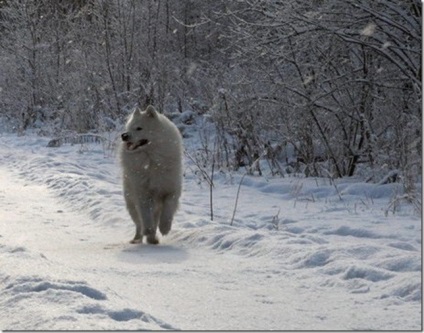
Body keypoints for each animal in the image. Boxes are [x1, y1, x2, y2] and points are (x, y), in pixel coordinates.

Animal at [121, 105, 184, 243]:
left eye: (139, 128)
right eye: (129, 128)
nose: (124, 135)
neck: (152, 160)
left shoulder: (171, 190)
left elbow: (168, 209)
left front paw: (165, 228)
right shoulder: (143, 193)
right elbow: (146, 216)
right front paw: (148, 230)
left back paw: (153, 239)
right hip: (131, 201)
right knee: (139, 223)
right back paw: (140, 237)